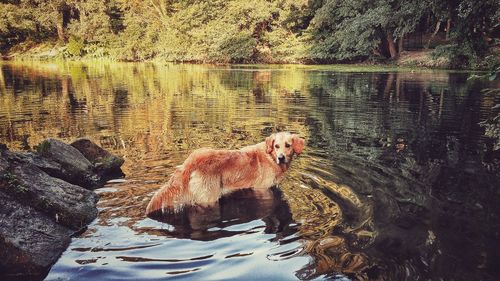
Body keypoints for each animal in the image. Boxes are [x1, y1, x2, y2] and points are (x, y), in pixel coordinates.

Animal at [143, 131, 302, 214]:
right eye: (276, 146)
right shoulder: (262, 189)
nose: (281, 157)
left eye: (288, 145)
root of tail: (191, 160)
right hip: (209, 197)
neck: (270, 156)